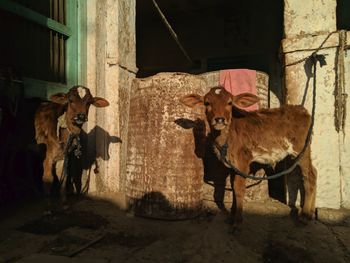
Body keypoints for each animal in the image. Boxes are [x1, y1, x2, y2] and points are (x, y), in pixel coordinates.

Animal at [180, 87, 318, 231]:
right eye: (207, 103)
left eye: (229, 103)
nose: (219, 120)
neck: (226, 137)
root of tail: (301, 110)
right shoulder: (232, 165)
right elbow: (233, 187)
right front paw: (232, 216)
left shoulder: (242, 161)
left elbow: (239, 189)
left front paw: (237, 222)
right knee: (315, 171)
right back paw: (311, 213)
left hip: (301, 149)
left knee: (310, 176)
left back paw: (304, 216)